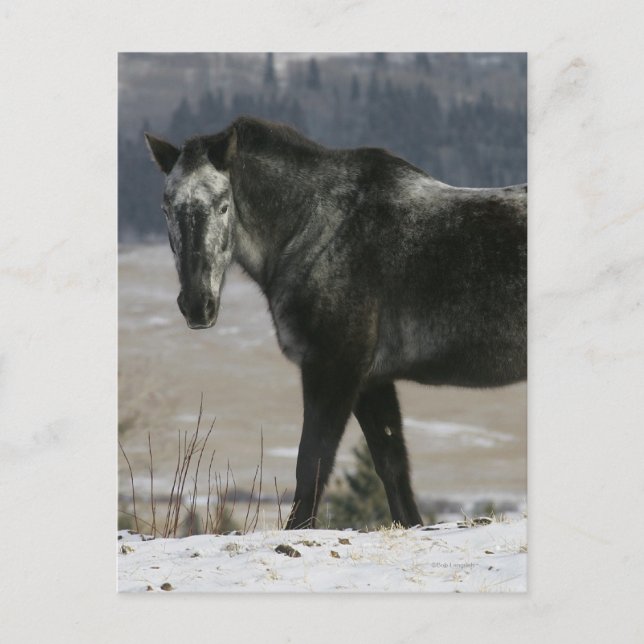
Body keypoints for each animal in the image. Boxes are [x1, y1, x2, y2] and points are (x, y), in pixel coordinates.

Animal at [145, 116, 527, 530]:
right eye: (165, 209)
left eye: (223, 206)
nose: (197, 305)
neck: (317, 229)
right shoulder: (371, 380)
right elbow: (392, 465)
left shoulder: (332, 369)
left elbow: (312, 462)